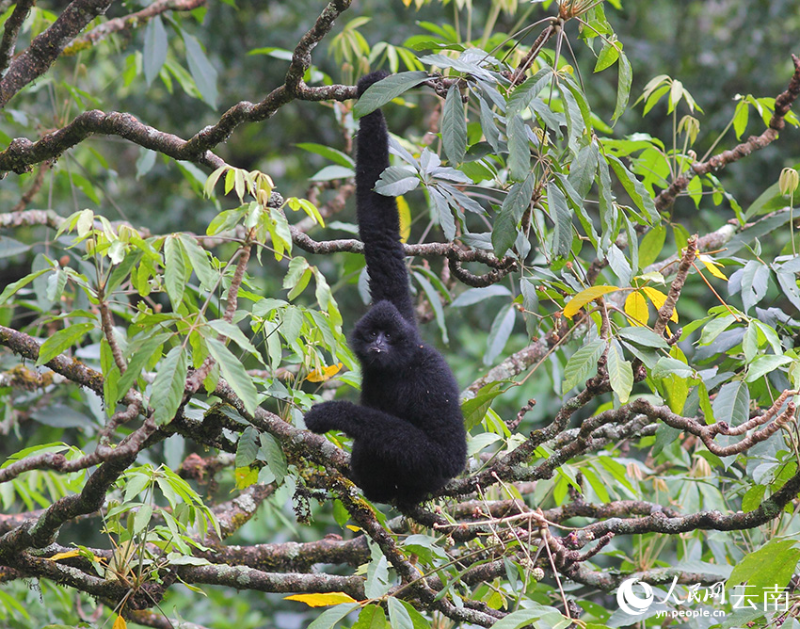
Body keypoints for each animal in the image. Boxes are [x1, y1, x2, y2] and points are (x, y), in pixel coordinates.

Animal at [303, 71, 467, 506]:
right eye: (374, 332)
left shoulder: (430, 380)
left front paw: (334, 414)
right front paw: (371, 91)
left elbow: (445, 455)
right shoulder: (396, 298)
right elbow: (379, 229)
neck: (400, 367)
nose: (377, 344)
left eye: (389, 337)